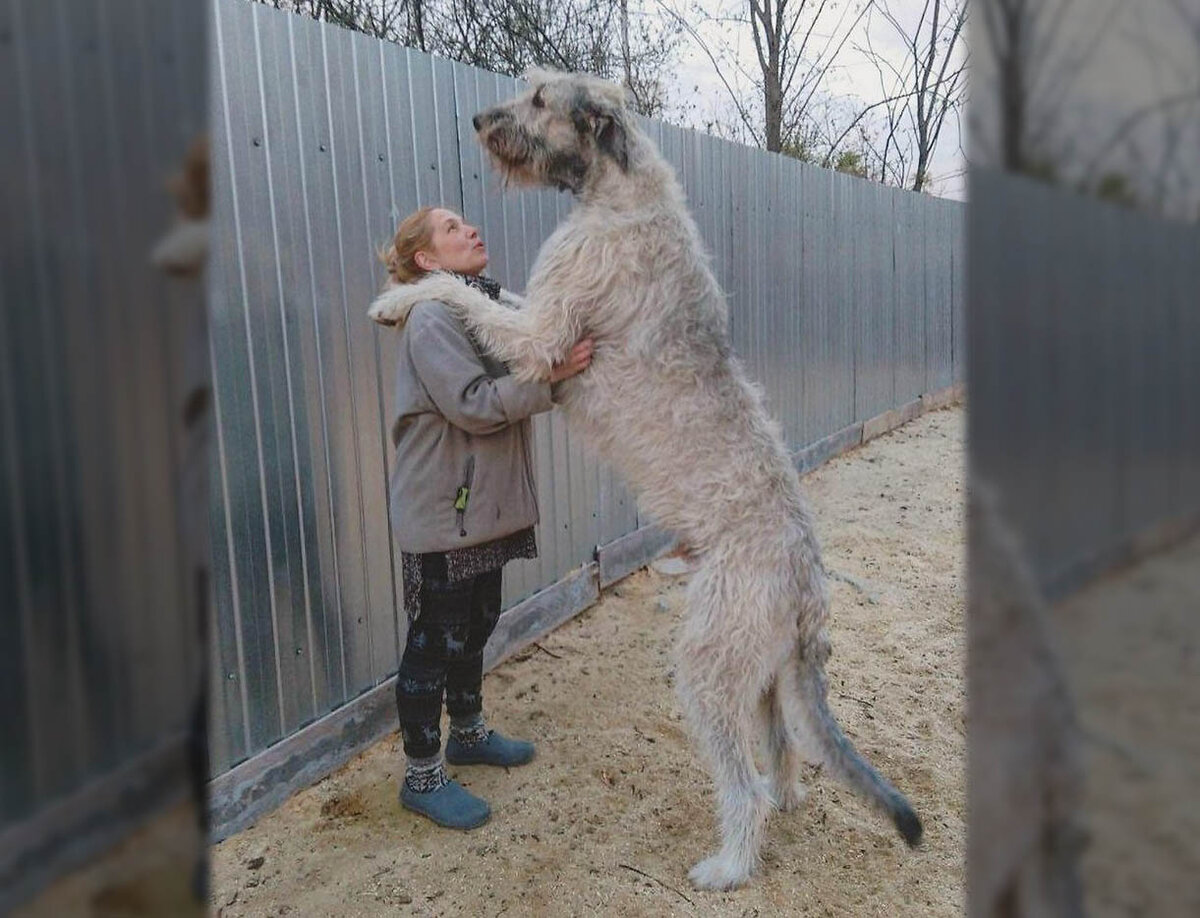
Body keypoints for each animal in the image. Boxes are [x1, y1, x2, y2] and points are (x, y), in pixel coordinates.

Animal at [369, 71, 921, 888]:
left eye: (540, 99)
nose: (477, 119)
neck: (619, 190)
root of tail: (806, 578)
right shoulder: (539, 307)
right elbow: (488, 293)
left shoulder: (545, 330)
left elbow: (464, 294)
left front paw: (398, 298)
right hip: (759, 667)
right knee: (783, 750)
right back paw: (786, 799)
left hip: (709, 662)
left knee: (744, 783)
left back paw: (729, 865)